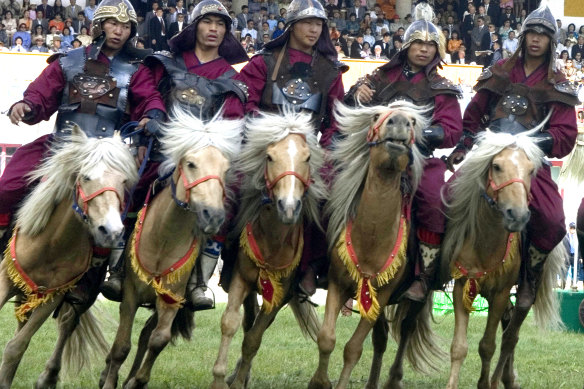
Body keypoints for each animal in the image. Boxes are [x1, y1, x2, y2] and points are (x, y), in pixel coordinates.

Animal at [0, 126, 137, 386]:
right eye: (86, 177)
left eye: (123, 181)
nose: (111, 231)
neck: (51, 244)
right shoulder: (5, 278)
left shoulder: (52, 296)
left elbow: (16, 347)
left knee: (67, 325)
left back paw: (48, 377)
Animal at [99, 106, 241, 388]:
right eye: (191, 164)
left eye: (224, 168)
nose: (213, 216)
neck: (164, 238)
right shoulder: (130, 295)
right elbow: (121, 346)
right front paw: (110, 380)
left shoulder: (171, 298)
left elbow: (158, 340)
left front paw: (137, 381)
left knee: (146, 334)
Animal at [211, 109, 328, 388]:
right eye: (270, 156)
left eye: (308, 157)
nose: (288, 206)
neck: (273, 240)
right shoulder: (241, 278)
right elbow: (230, 323)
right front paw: (220, 377)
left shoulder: (280, 293)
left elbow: (253, 340)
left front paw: (238, 381)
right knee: (247, 321)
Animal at [310, 101, 442, 388]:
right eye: (375, 117)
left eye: (413, 122)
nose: (399, 122)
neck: (370, 237)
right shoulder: (338, 284)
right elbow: (326, 338)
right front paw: (319, 382)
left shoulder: (381, 295)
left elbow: (353, 348)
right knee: (381, 339)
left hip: (417, 296)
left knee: (406, 330)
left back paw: (393, 378)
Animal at [442, 130, 564, 388]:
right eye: (497, 166)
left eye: (531, 170)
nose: (517, 216)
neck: (485, 243)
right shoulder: (462, 286)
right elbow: (459, 347)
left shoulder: (499, 293)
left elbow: (488, 346)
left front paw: (486, 384)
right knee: (508, 326)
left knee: (511, 336)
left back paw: (502, 379)